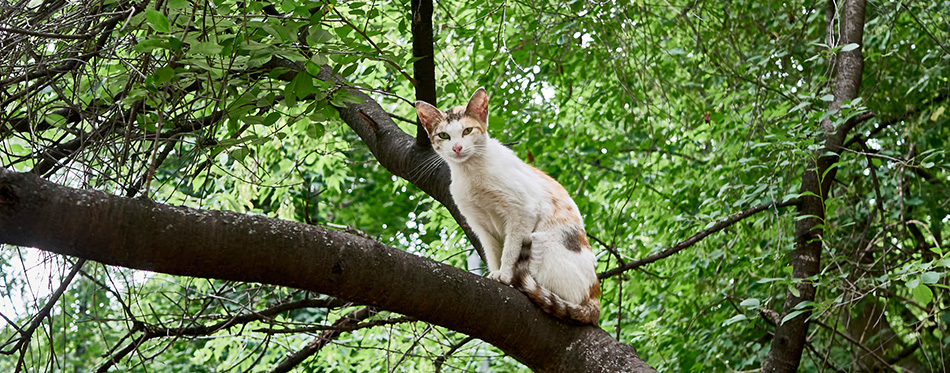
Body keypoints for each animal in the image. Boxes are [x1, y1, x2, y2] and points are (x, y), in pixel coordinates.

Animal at [416, 86, 604, 322]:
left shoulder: (523, 212)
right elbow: (493, 252)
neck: (471, 174)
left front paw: (504, 275)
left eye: (467, 131)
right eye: (444, 135)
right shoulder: (480, 225)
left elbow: (510, 250)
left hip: (542, 241)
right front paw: (495, 273)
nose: (457, 147)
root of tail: (594, 299)